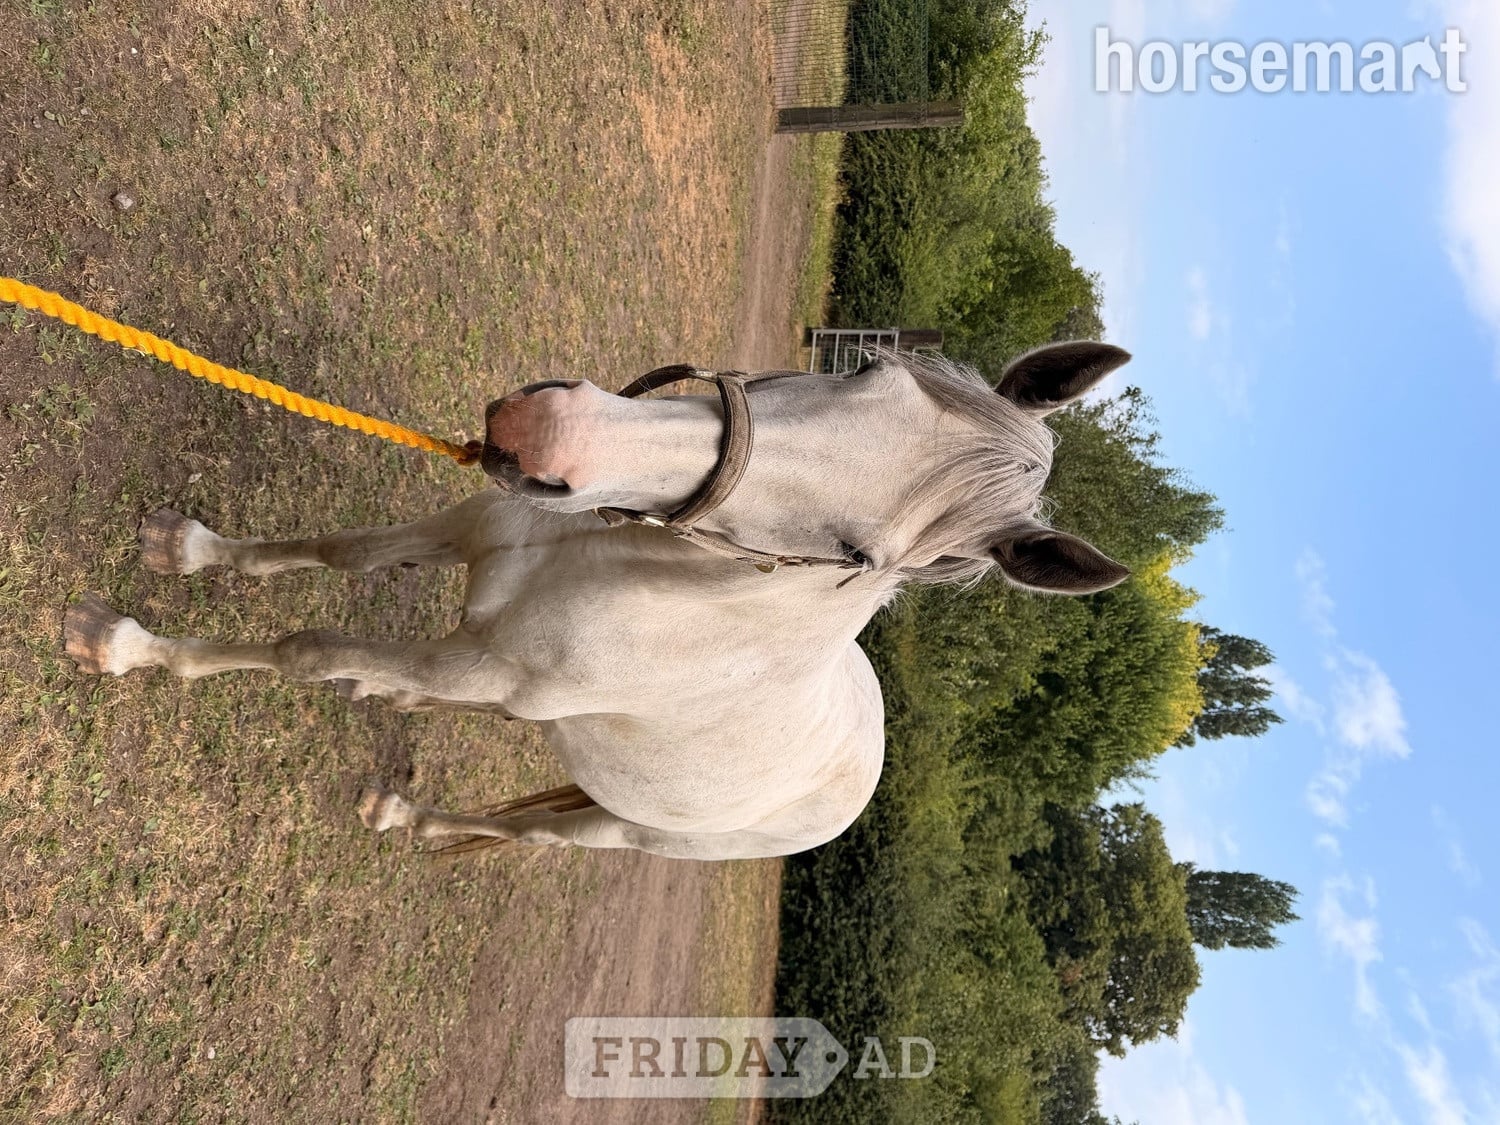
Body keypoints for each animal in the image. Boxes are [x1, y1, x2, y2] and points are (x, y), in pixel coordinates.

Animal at [63, 343, 1132, 859]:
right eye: (868, 367)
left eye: (859, 557)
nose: (545, 435)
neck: (619, 564)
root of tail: (863, 769)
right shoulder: (470, 527)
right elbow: (339, 552)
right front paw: (185, 547)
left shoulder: (480, 664)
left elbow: (303, 648)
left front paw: (124, 644)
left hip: (620, 828)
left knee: (526, 830)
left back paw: (408, 816)